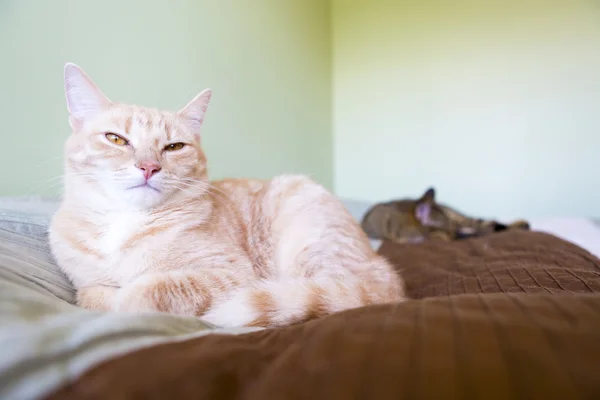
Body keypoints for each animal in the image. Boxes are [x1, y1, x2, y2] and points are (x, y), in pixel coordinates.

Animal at [47, 63, 404, 328]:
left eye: (174, 147)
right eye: (116, 139)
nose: (149, 167)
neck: (125, 223)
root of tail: (388, 276)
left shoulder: (232, 275)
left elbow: (153, 288)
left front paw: (129, 298)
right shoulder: (85, 282)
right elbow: (91, 295)